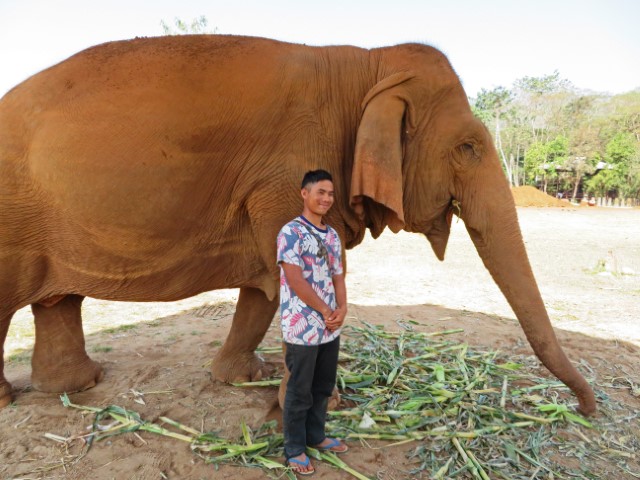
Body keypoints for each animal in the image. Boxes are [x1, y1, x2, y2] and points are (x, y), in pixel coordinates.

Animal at [0, 35, 596, 414]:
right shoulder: (288, 172)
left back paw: (75, 385)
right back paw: (14, 398)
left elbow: (265, 287)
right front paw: (322, 408)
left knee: (58, 301)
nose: (588, 407)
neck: (366, 67)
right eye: (469, 147)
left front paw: (244, 378)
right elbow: (290, 279)